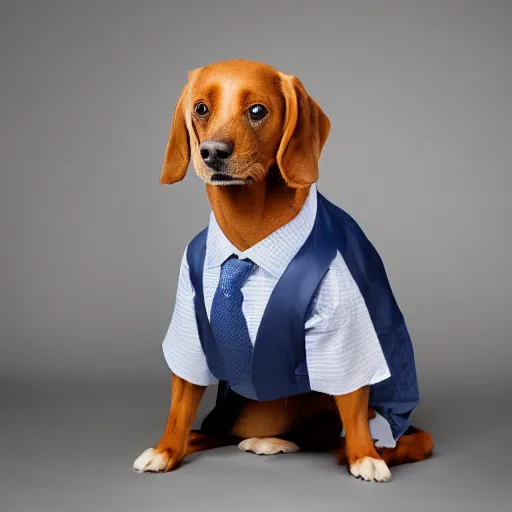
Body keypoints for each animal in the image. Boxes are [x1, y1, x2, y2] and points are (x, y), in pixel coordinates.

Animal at [132, 58, 432, 482]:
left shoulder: (342, 332)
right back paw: (259, 439)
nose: (211, 152)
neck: (248, 235)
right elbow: (180, 404)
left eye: (257, 111)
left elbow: (353, 403)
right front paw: (165, 450)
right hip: (240, 410)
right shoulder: (189, 326)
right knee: (220, 431)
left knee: (345, 431)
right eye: (201, 108)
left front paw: (364, 456)